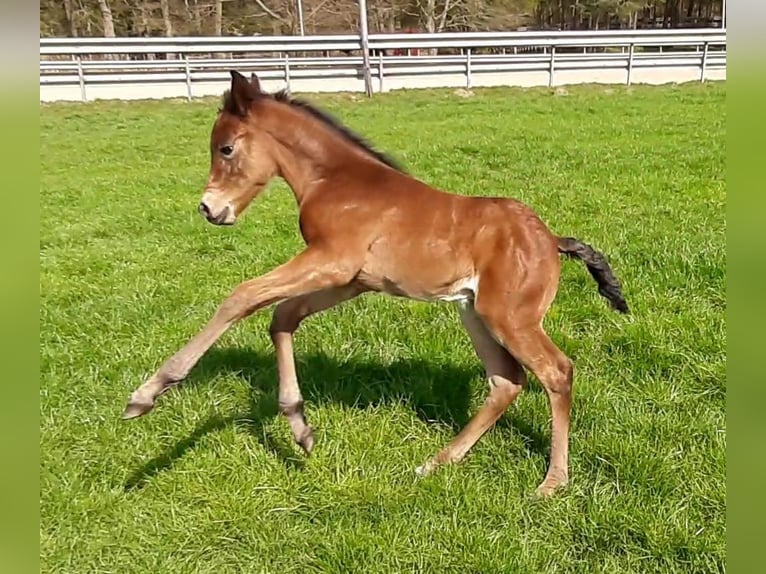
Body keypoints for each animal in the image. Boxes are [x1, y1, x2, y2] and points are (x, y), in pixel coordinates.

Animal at [122, 71, 629, 496]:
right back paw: (437, 462)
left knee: (556, 372)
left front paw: (149, 392)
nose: (210, 209)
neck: (334, 179)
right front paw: (300, 426)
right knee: (507, 381)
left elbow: (242, 296)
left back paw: (553, 482)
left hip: (510, 316)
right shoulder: (350, 279)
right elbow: (282, 317)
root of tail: (551, 239)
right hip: (474, 312)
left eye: (225, 148)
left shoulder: (330, 260)